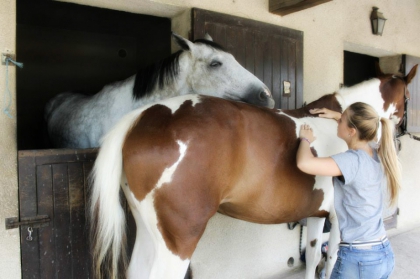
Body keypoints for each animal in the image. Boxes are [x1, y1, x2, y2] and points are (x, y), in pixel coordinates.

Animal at [89, 64, 416, 278]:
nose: (405, 134)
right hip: (178, 241)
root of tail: (142, 117)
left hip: (150, 232)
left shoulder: (316, 216)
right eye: (410, 97)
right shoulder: (336, 221)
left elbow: (312, 259)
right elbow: (331, 260)